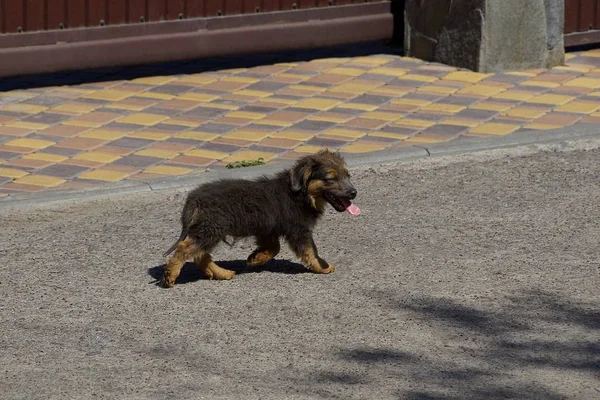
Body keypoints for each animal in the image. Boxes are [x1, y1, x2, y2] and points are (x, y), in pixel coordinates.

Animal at [163, 150, 360, 288]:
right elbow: (310, 251)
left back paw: (221, 273)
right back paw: (171, 274)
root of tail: (193, 199)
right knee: (185, 248)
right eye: (330, 178)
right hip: (211, 229)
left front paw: (256, 258)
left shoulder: (267, 229)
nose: (354, 192)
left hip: (209, 231)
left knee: (199, 254)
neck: (301, 194)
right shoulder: (299, 230)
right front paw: (322, 267)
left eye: (348, 176)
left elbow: (274, 248)